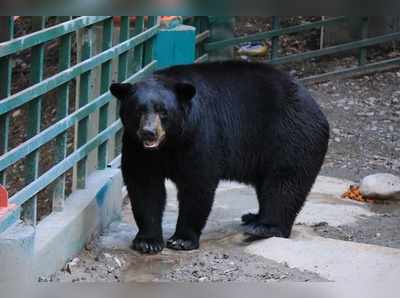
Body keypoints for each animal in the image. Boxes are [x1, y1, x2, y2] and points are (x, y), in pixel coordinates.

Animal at [108, 60, 328, 254]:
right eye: (138, 110)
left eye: (163, 111)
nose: (149, 133)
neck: (169, 143)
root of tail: (317, 108)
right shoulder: (136, 145)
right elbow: (144, 184)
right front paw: (148, 241)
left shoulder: (199, 133)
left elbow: (197, 182)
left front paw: (182, 239)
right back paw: (253, 217)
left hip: (291, 135)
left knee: (285, 182)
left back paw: (266, 226)